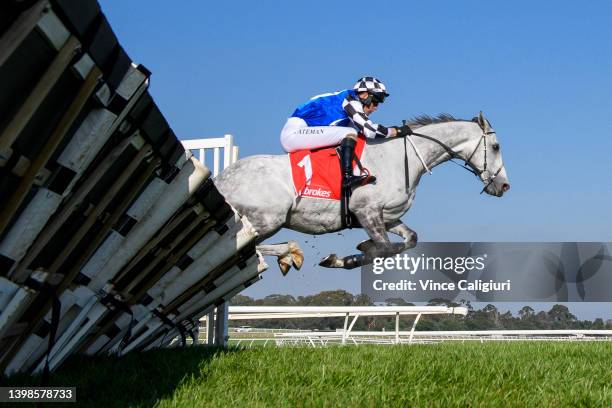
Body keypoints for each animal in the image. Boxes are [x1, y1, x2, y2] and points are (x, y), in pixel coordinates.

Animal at [216, 111, 512, 274]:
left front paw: (356, 250)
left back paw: (289, 254)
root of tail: (221, 180)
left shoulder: (387, 216)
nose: (504, 185)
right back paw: (289, 252)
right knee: (241, 248)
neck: (401, 157)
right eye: (496, 146)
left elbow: (410, 240)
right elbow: (385, 249)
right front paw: (347, 256)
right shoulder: (367, 212)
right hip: (266, 220)